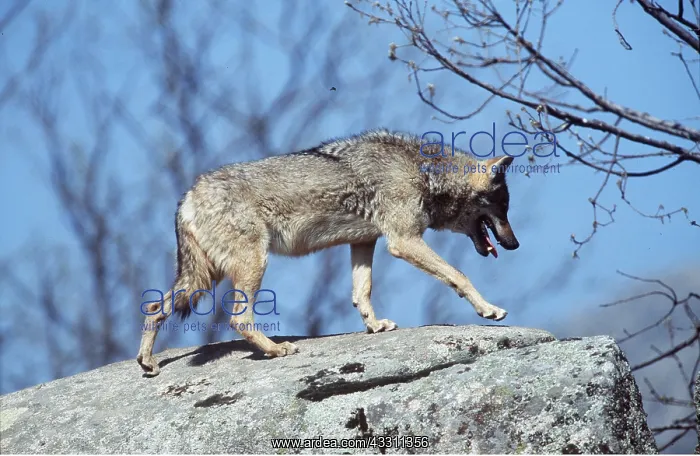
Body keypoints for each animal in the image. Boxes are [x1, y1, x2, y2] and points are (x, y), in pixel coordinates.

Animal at [137, 130, 520, 375]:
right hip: (248, 266)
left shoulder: (365, 242)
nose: (515, 244)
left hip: (202, 278)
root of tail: (188, 194)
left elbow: (362, 292)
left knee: (154, 307)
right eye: (502, 209)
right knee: (237, 319)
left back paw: (148, 363)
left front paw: (374, 326)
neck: (423, 172)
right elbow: (459, 276)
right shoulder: (403, 241)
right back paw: (276, 349)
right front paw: (489, 309)